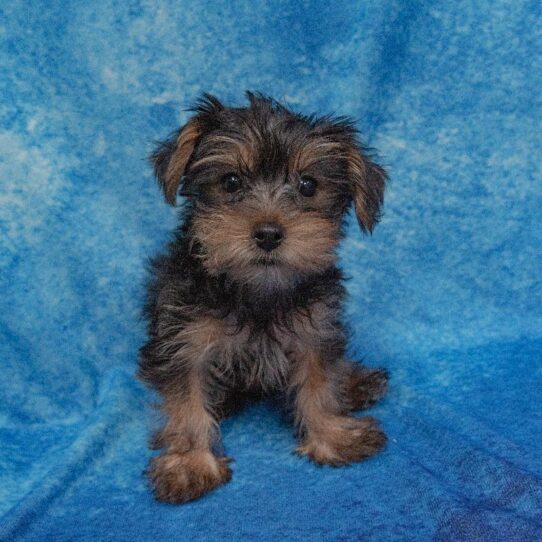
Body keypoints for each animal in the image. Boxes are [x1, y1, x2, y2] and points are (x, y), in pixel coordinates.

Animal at [138, 93, 388, 506]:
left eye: (308, 185)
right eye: (231, 181)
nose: (269, 233)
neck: (257, 290)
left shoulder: (315, 327)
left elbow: (320, 382)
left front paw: (333, 435)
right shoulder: (182, 339)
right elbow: (186, 402)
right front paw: (191, 462)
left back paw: (356, 381)